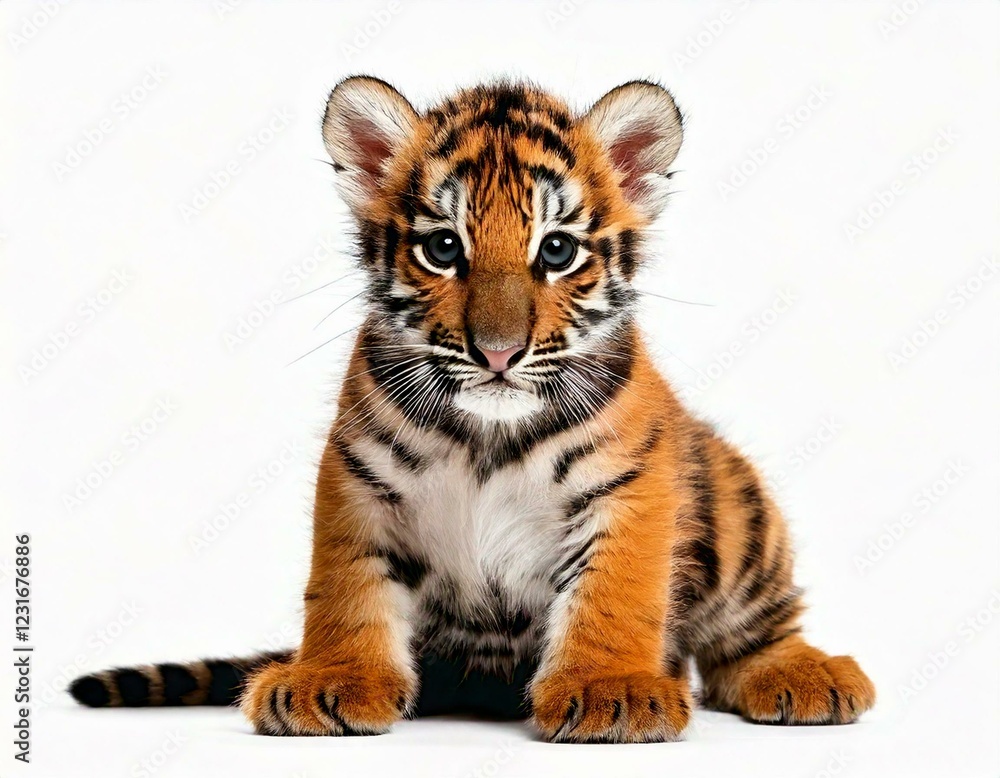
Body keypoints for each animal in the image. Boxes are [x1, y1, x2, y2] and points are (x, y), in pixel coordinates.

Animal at [70, 77, 875, 743]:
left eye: (556, 250)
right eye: (442, 247)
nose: (497, 353)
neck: (490, 431)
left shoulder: (629, 487)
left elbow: (616, 592)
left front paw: (610, 689)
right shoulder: (358, 481)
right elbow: (346, 587)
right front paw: (333, 681)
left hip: (737, 508)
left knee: (755, 635)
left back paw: (804, 677)